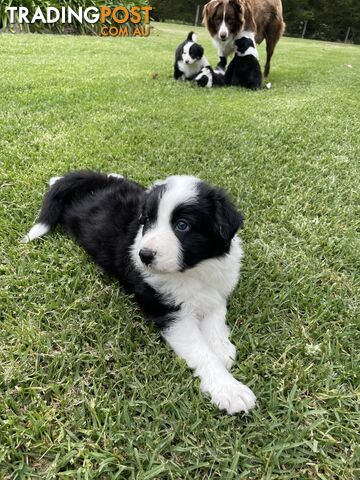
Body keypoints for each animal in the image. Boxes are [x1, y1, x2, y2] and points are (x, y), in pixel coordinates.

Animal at [24, 171, 256, 414]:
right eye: (146, 221)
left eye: (182, 225)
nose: (143, 255)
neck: (194, 270)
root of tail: (97, 182)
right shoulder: (170, 312)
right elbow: (201, 351)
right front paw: (229, 389)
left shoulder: (218, 287)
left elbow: (216, 316)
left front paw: (222, 348)